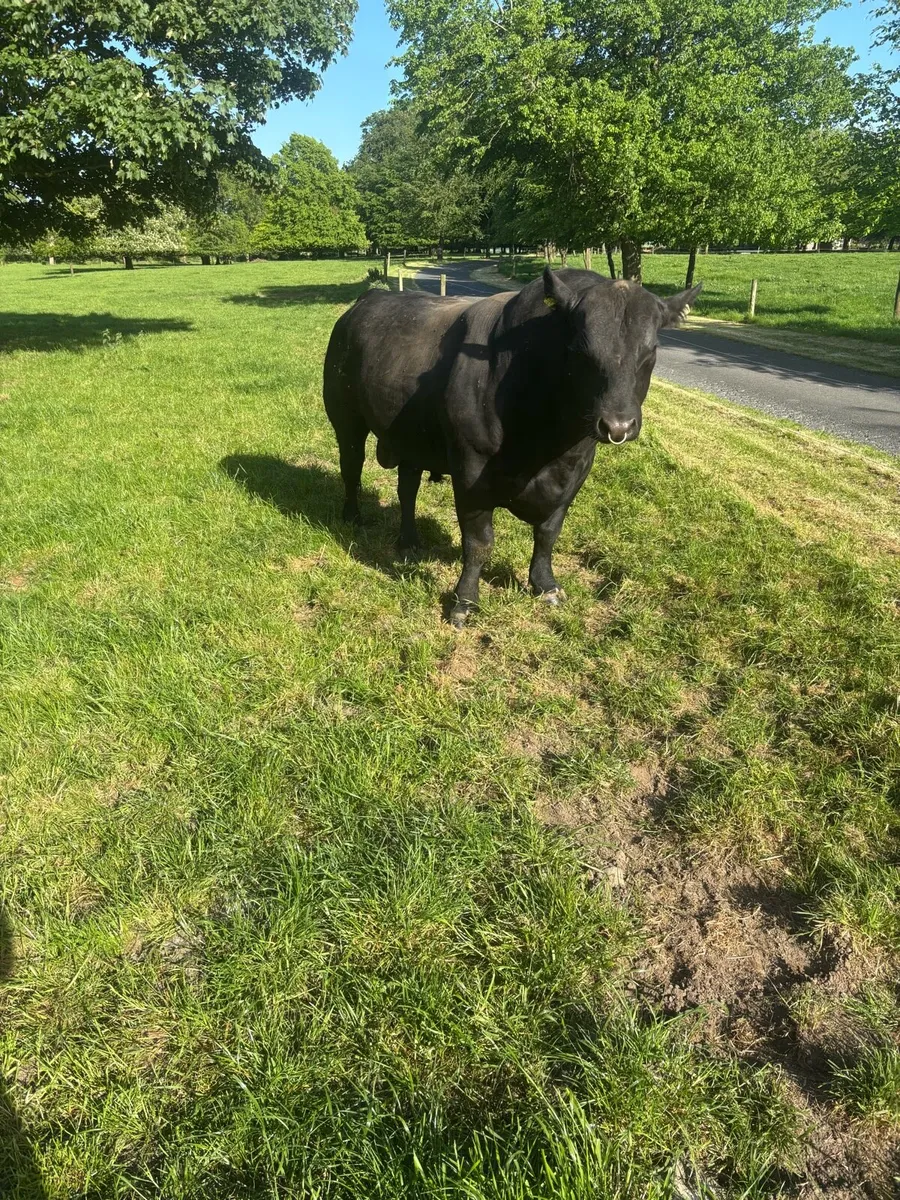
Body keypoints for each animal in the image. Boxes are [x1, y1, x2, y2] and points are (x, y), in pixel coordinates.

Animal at [323, 267, 701, 628]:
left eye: (650, 352)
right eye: (580, 350)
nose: (617, 426)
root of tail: (368, 299)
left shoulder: (575, 472)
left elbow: (548, 534)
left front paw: (545, 585)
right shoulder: (470, 471)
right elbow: (479, 543)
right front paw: (465, 602)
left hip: (411, 435)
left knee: (407, 488)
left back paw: (408, 540)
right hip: (345, 417)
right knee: (351, 466)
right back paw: (352, 516)